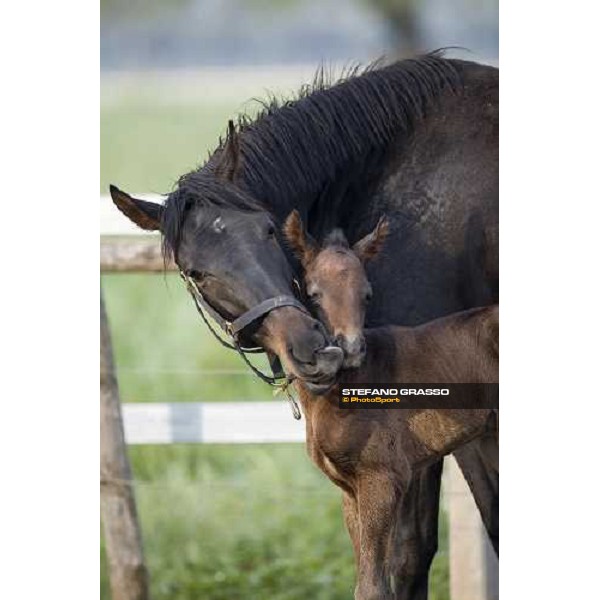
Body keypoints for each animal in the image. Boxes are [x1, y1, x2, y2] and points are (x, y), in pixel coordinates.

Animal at [284, 210, 500, 600]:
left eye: (367, 294)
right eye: (314, 293)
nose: (351, 347)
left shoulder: (382, 479)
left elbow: (374, 586)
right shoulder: (350, 489)